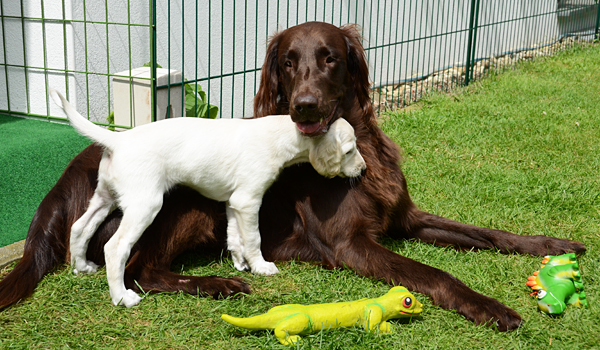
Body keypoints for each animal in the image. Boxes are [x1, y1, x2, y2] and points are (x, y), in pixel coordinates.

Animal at [49, 89, 366, 306]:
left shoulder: (234, 202)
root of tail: (119, 138)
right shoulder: (249, 200)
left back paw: (82, 267)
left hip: (105, 197)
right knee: (115, 248)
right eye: (350, 150)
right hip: (145, 205)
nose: (363, 170)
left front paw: (240, 264)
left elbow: (234, 236)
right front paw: (261, 266)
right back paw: (122, 297)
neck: (279, 135)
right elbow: (254, 239)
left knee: (80, 228)